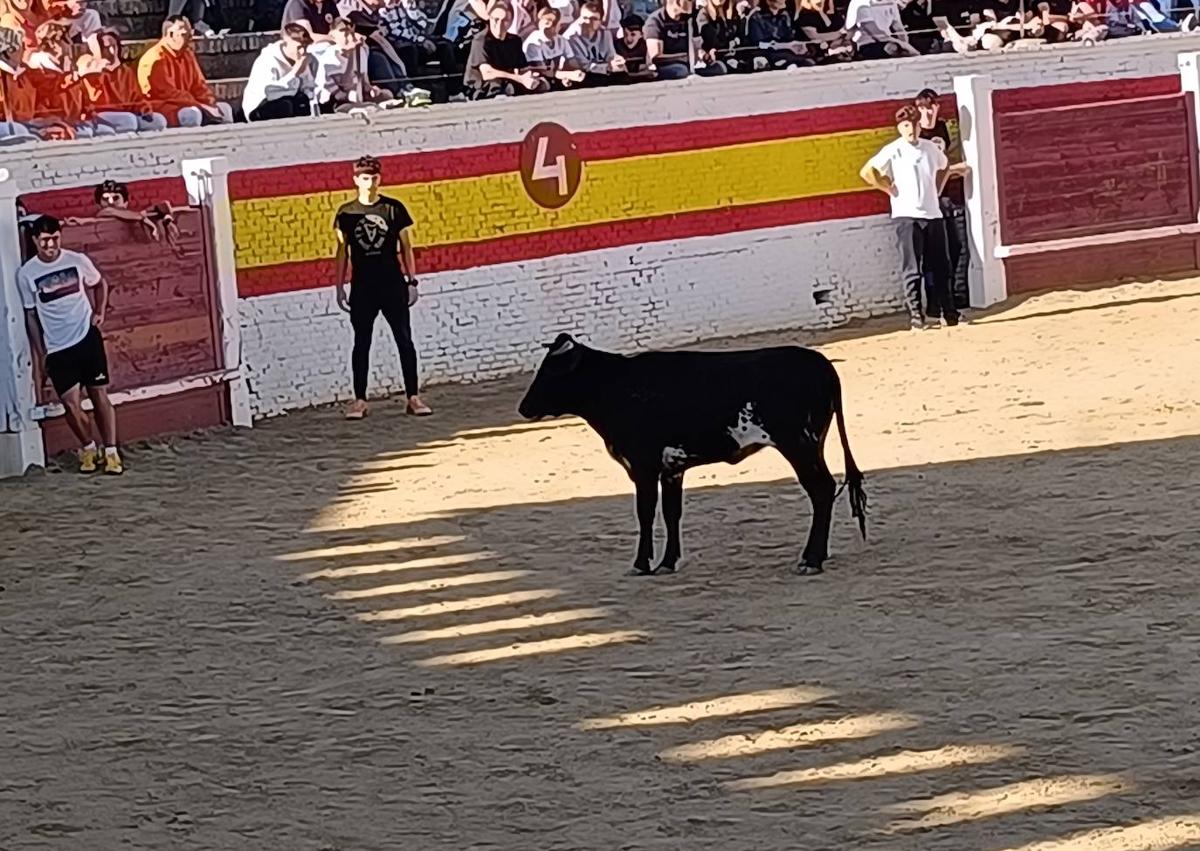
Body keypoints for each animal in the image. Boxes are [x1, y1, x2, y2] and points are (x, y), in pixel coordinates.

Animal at [520, 333, 868, 578]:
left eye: (551, 372)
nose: (523, 408)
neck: (617, 387)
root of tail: (820, 363)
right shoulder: (672, 469)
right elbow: (671, 513)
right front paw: (667, 562)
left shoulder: (643, 467)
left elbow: (645, 512)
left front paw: (641, 563)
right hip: (811, 446)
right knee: (825, 490)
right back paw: (818, 555)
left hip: (798, 446)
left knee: (820, 491)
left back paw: (810, 560)